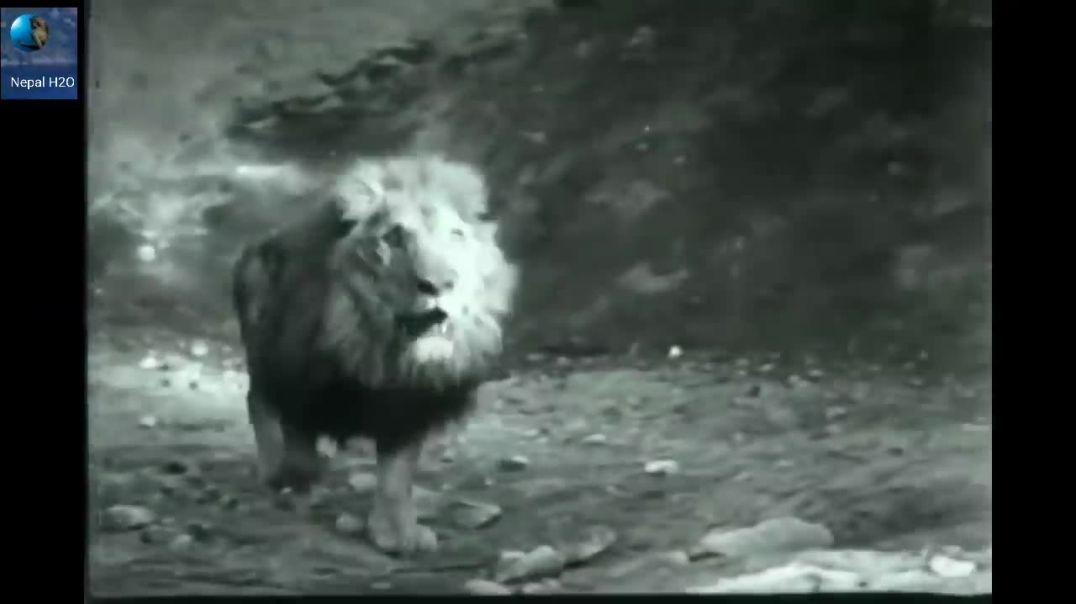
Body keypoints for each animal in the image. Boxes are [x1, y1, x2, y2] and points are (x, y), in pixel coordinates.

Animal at [232, 155, 518, 555]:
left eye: (456, 236)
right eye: (394, 238)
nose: (439, 284)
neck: (380, 347)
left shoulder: (409, 406)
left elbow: (396, 477)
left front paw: (397, 533)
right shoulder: (300, 381)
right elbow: (300, 445)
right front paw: (297, 488)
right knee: (257, 400)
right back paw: (276, 474)